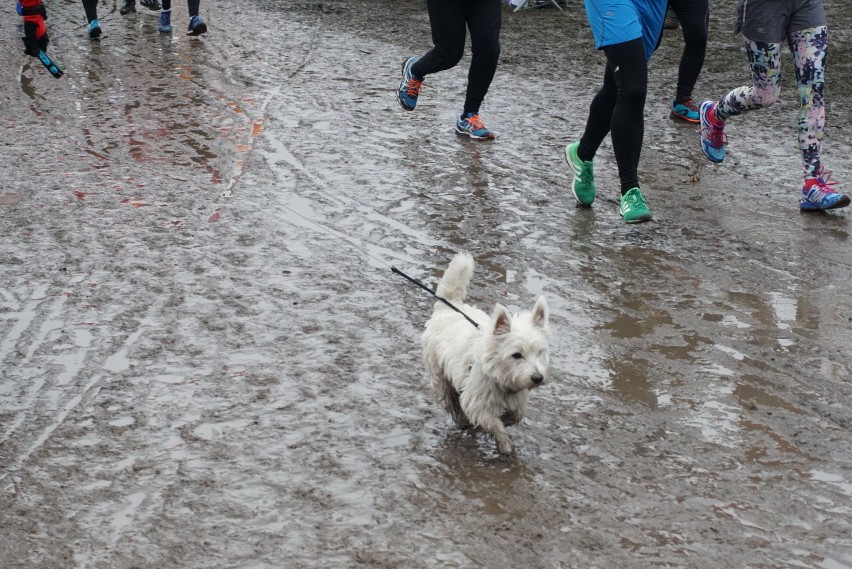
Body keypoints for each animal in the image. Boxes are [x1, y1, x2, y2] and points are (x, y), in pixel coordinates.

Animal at [422, 251, 552, 454]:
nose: (538, 378)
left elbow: (517, 415)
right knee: (450, 397)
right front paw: (505, 443)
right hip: (438, 371)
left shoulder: (517, 398)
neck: (502, 378)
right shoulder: (478, 403)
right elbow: (493, 423)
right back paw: (460, 420)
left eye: (540, 352)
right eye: (516, 355)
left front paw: (507, 421)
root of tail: (448, 305)